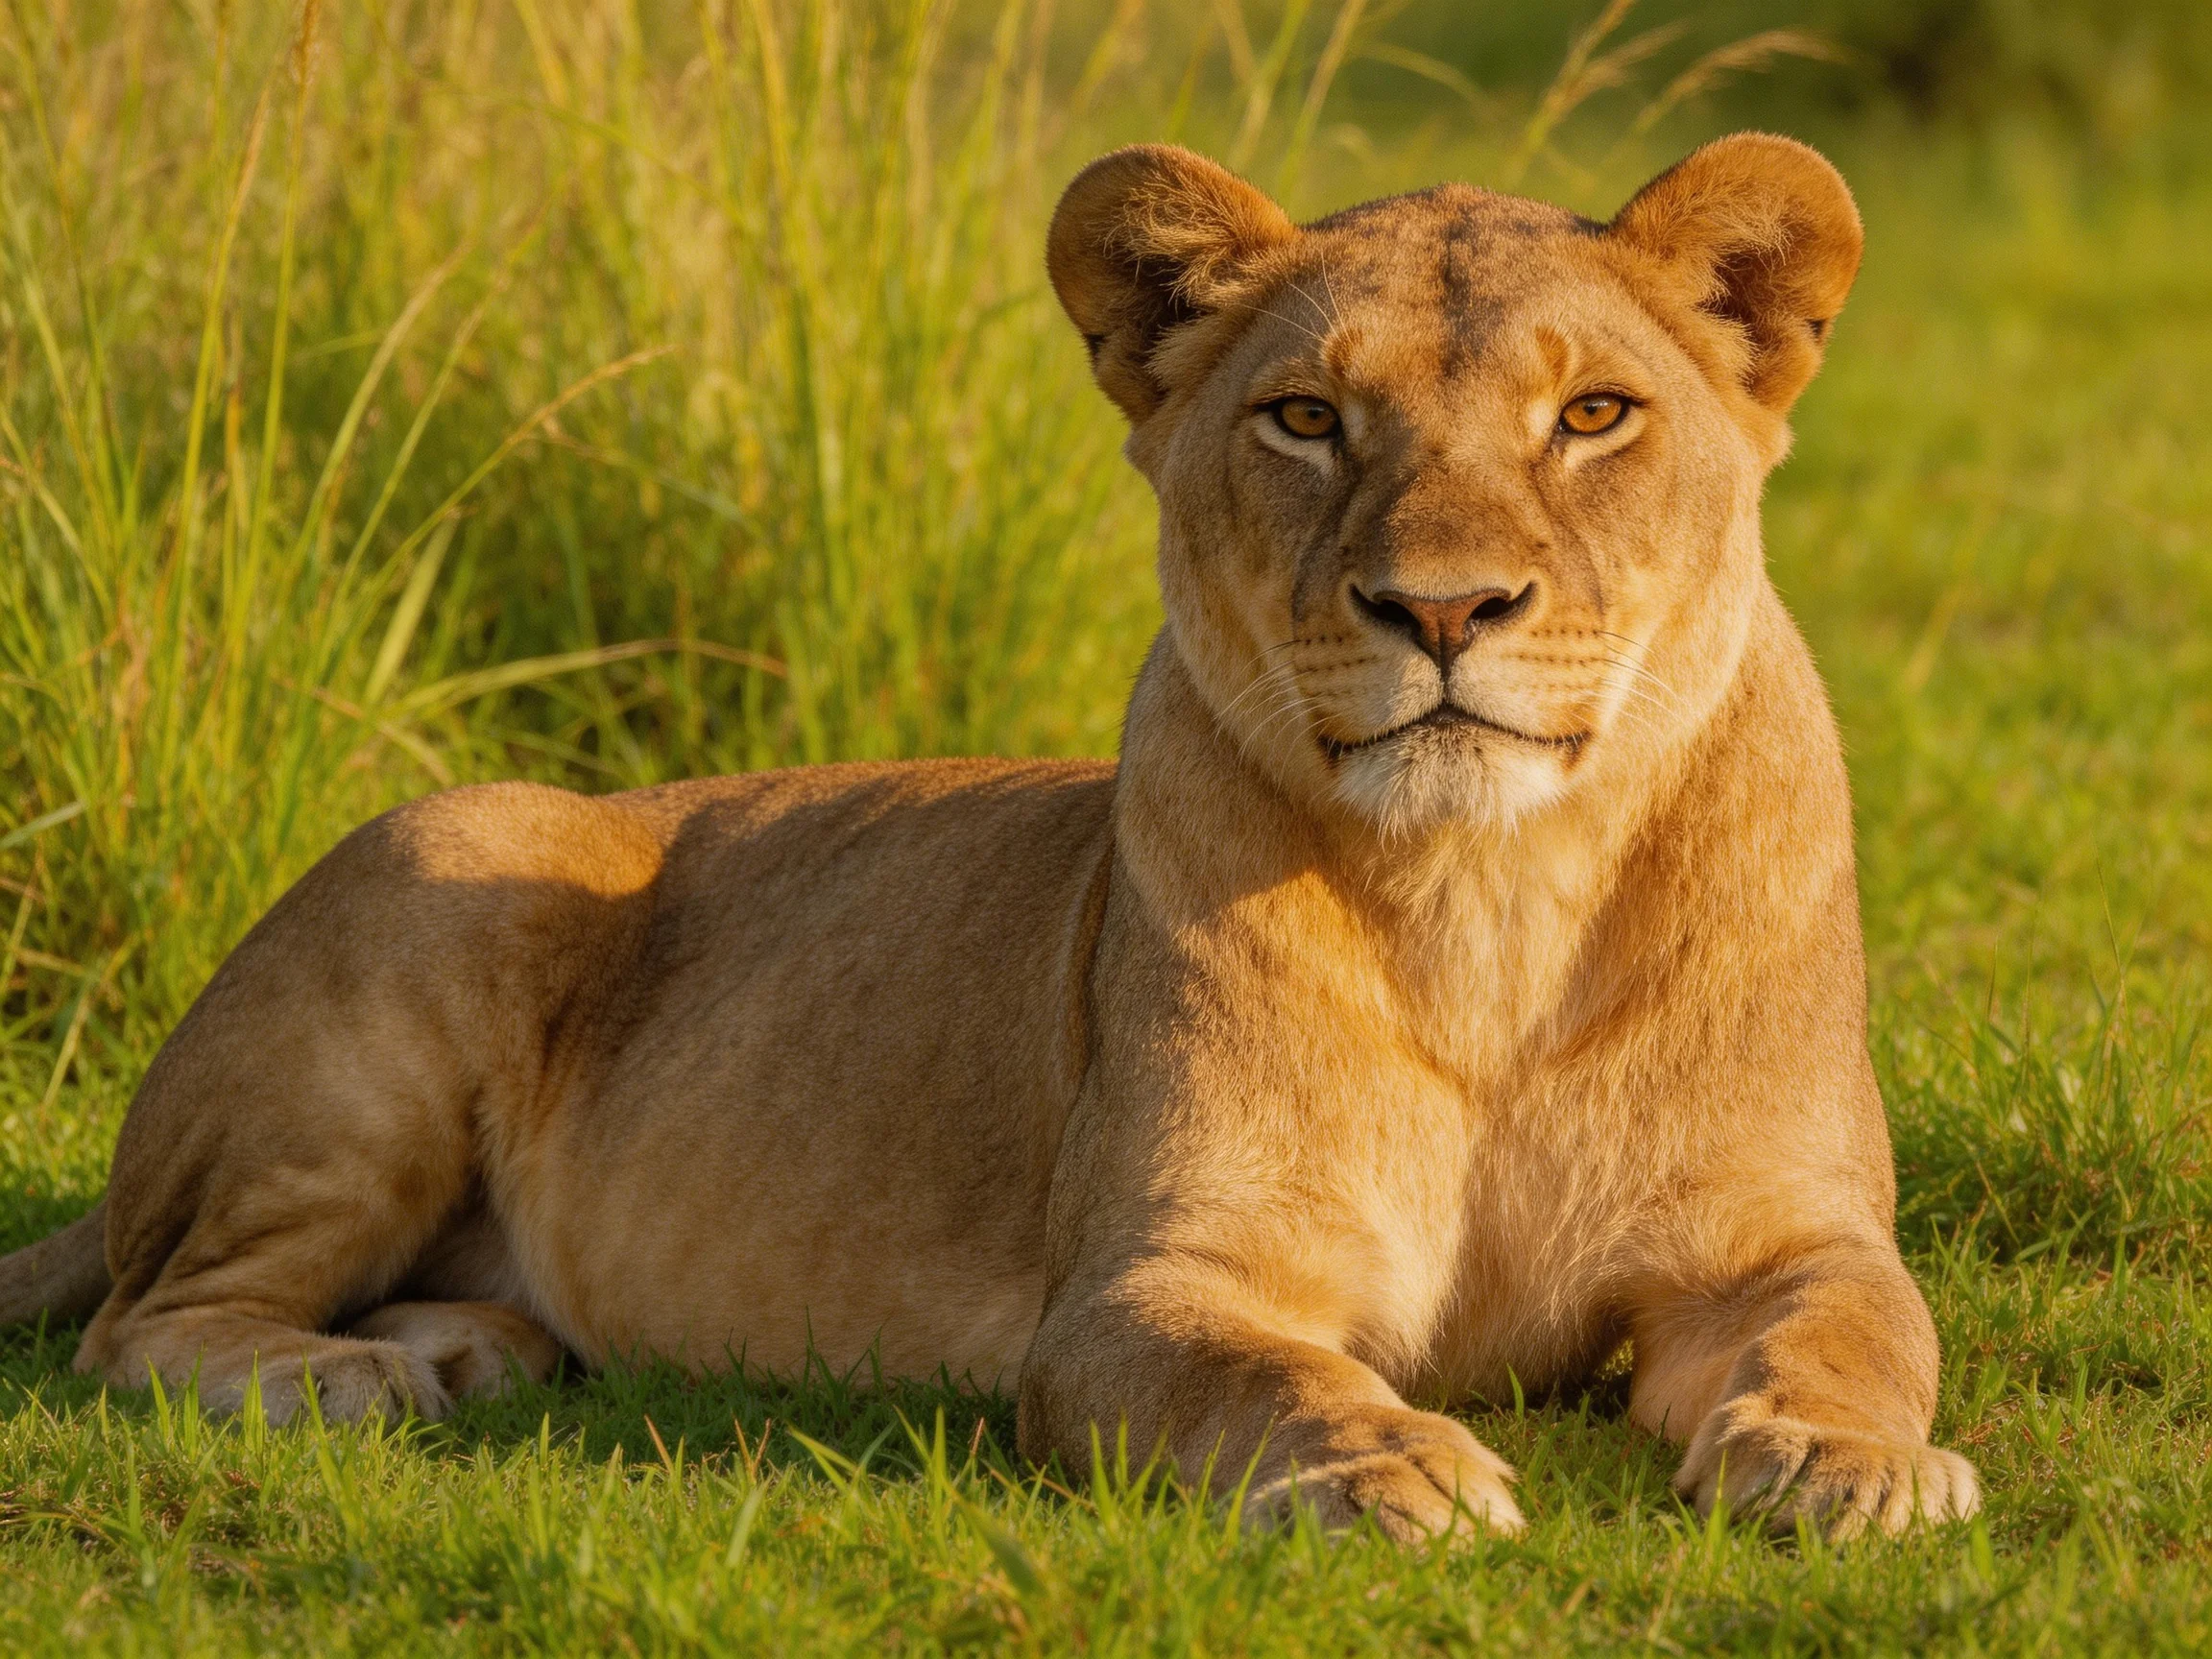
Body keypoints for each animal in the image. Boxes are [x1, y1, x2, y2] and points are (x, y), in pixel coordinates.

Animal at [0, 134, 1978, 1542]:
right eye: (1305, 416)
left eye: (1593, 415)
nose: (1439, 608)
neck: (1487, 895)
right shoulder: (1146, 1285)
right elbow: (1257, 1386)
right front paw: (1383, 1470)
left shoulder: (1779, 1236)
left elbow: (1864, 1325)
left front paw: (1847, 1464)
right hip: (438, 873)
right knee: (138, 1322)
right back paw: (360, 1384)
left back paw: (477, 1345)